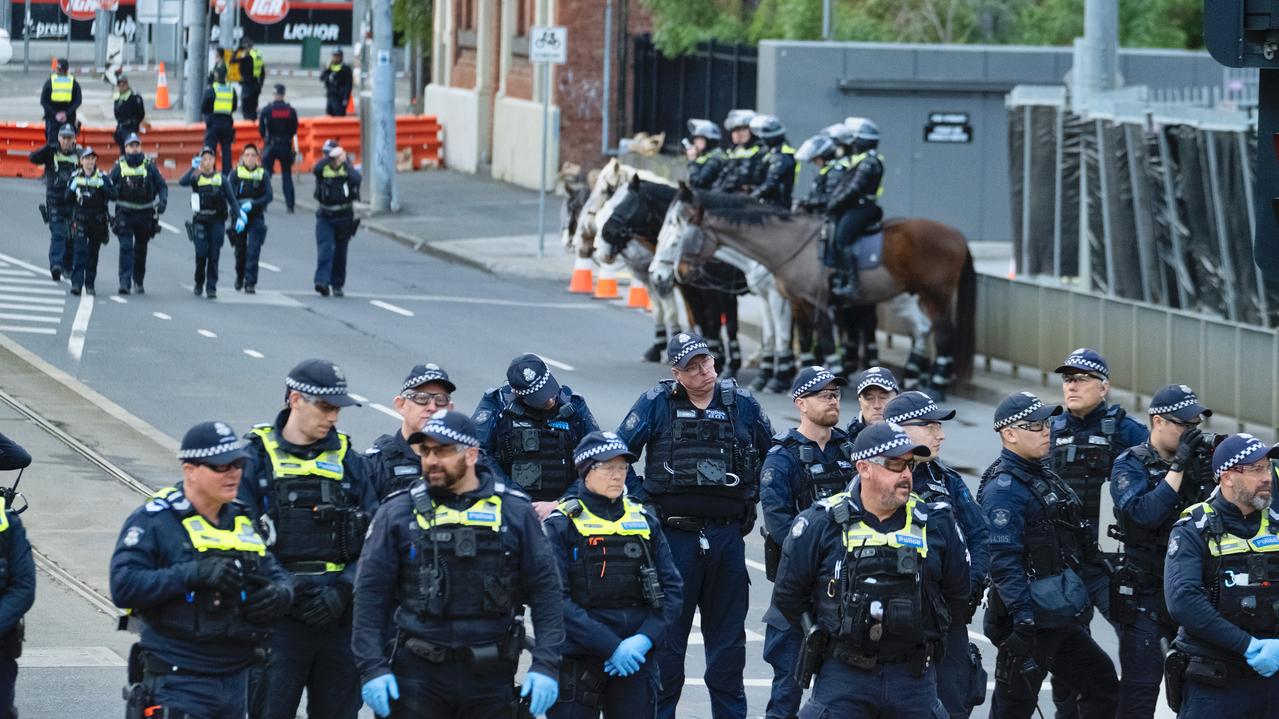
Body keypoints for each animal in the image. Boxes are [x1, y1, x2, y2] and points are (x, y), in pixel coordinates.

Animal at [654, 181, 972, 394]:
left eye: (679, 235)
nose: (673, 273)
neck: (789, 243)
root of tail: (958, 235)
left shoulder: (809, 301)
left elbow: (818, 340)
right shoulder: (796, 301)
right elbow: (799, 339)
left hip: (934, 295)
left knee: (942, 332)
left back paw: (935, 385)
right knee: (923, 329)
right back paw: (913, 375)